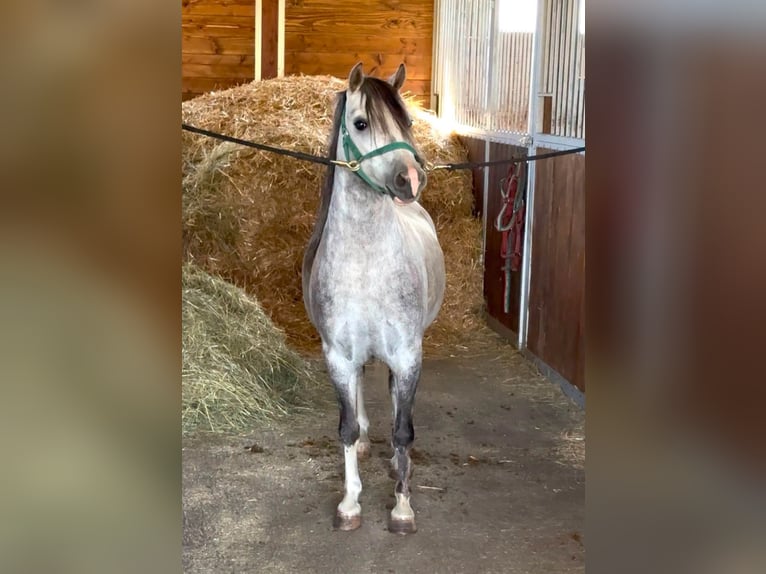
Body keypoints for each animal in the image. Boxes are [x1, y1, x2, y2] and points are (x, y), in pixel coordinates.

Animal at [302, 62, 446, 535]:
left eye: (408, 122)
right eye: (361, 123)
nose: (411, 179)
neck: (365, 263)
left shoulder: (408, 354)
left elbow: (403, 430)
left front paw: (402, 507)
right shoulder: (338, 356)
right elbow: (345, 428)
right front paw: (350, 503)